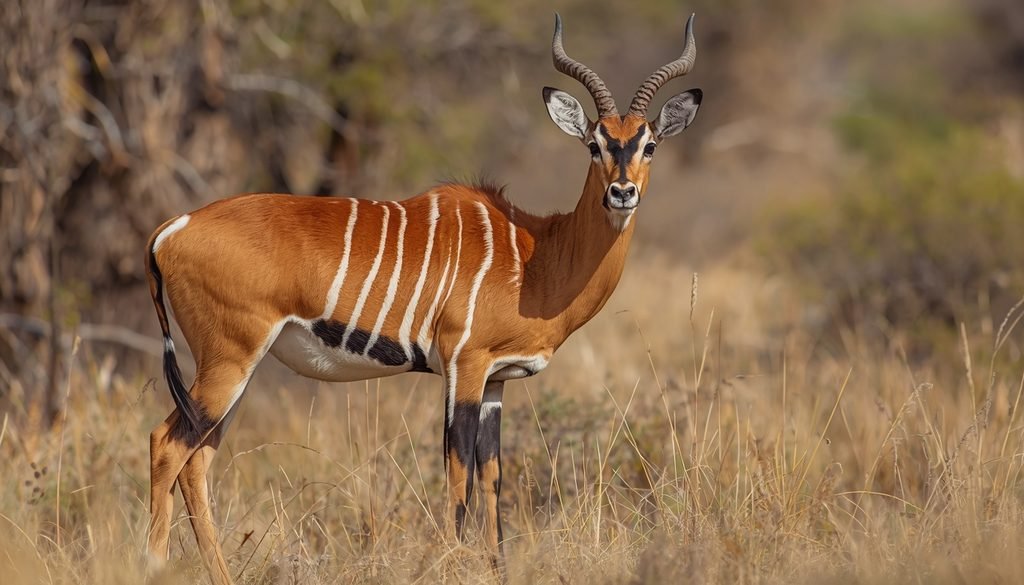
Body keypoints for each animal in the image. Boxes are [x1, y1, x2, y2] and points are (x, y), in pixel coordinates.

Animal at [145, 13, 701, 584]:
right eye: (595, 143)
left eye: (649, 144)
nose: (622, 193)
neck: (533, 251)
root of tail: (172, 228)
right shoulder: (464, 368)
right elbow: (458, 475)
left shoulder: (497, 382)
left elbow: (491, 477)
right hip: (228, 364)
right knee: (166, 447)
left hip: (234, 373)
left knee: (196, 460)